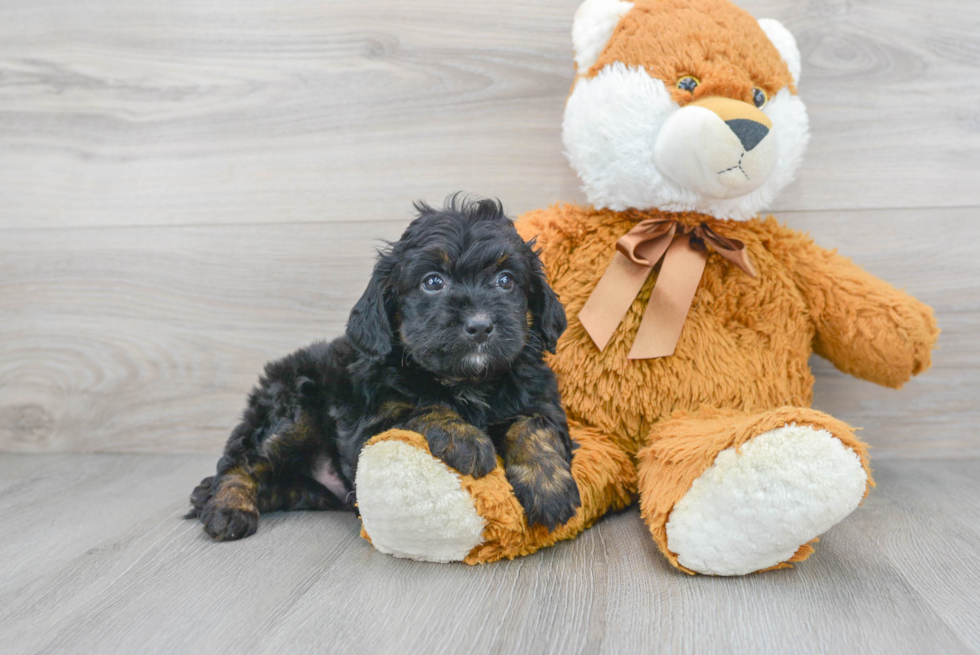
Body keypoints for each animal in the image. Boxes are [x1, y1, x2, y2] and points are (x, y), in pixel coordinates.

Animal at [188, 196, 580, 544]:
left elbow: (533, 426)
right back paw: (227, 508)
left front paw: (549, 486)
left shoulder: (541, 398)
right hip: (292, 409)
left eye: (505, 280)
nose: (480, 325)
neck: (466, 381)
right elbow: (419, 407)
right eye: (433, 282)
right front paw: (464, 437)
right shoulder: (369, 426)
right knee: (243, 462)